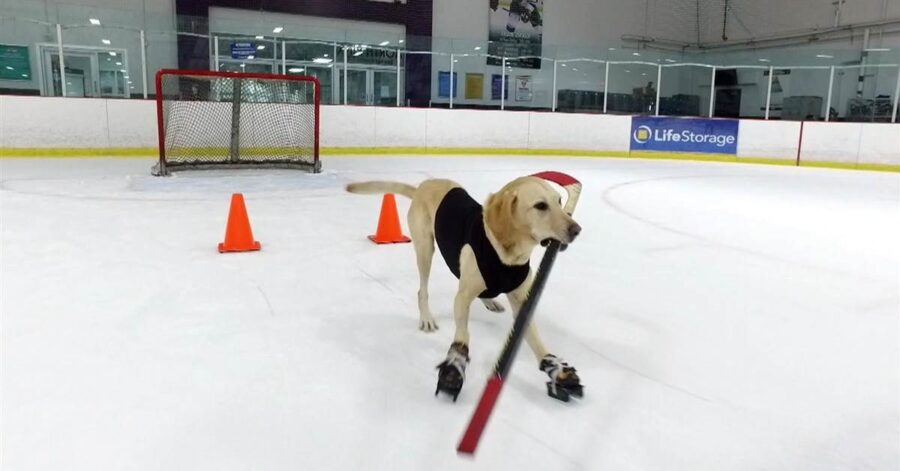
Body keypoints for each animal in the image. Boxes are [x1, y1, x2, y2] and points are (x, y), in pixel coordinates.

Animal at [344, 177, 584, 402]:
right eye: (540, 206)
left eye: (559, 201)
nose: (577, 230)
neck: (507, 254)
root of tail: (423, 186)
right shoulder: (461, 298)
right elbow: (463, 334)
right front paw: (455, 365)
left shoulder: (522, 302)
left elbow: (535, 340)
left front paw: (555, 369)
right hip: (425, 249)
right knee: (422, 290)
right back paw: (426, 317)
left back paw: (489, 301)